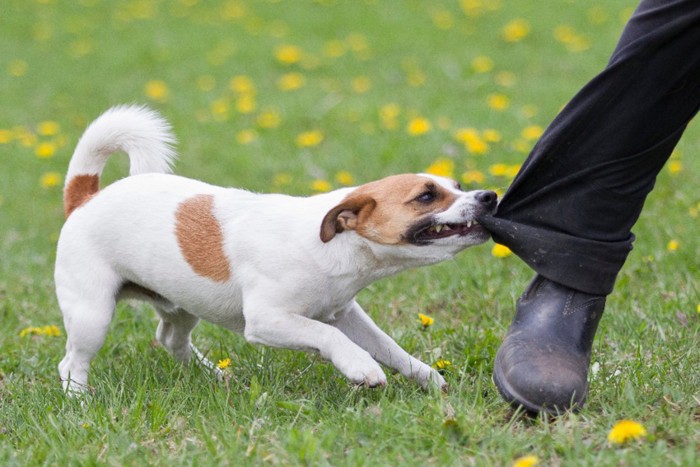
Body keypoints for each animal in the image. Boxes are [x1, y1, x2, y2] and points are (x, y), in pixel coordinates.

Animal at [53, 106, 498, 394]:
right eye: (426, 196)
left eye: (457, 185)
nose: (489, 196)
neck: (332, 247)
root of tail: (85, 197)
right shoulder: (269, 320)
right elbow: (326, 336)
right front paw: (360, 367)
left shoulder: (347, 315)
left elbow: (391, 348)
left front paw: (427, 377)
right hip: (93, 315)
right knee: (71, 362)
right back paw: (81, 401)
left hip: (181, 305)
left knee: (169, 339)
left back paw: (213, 377)